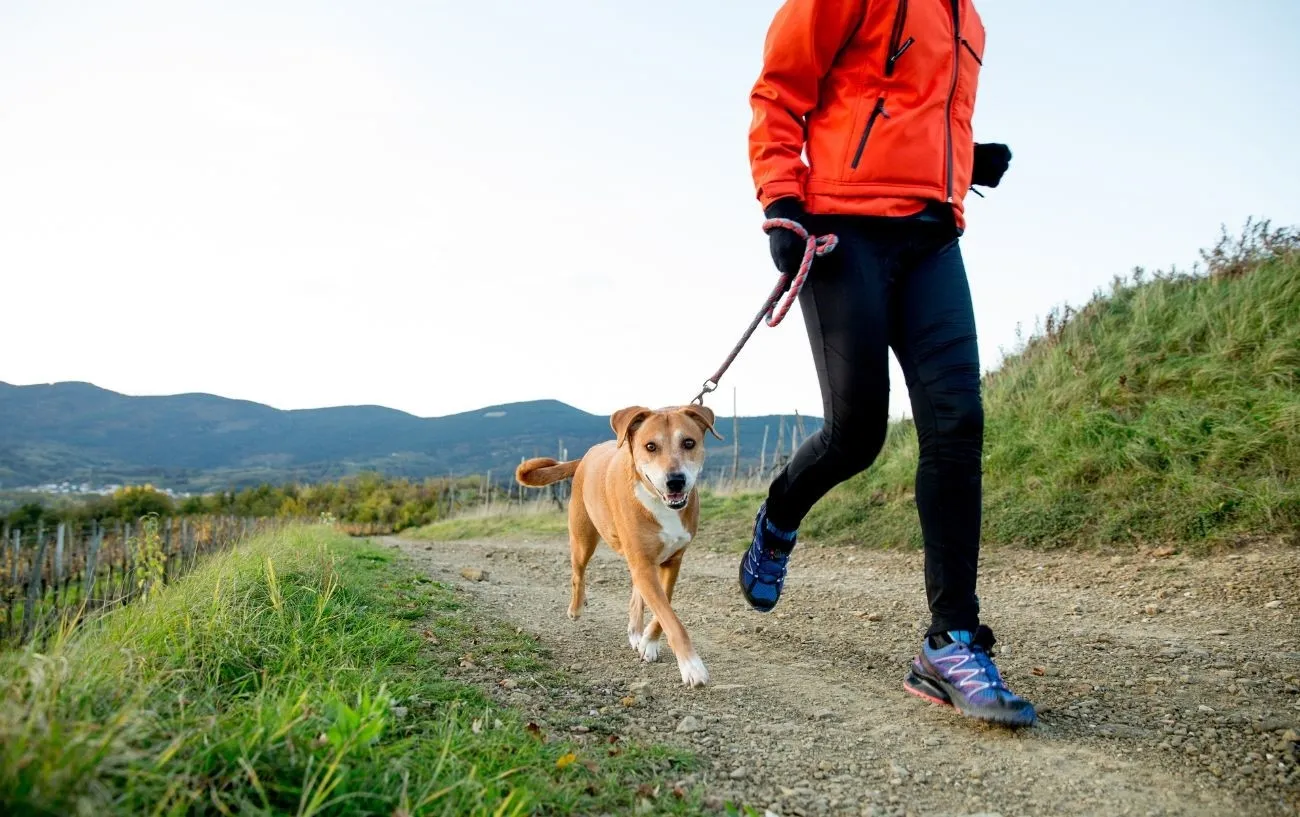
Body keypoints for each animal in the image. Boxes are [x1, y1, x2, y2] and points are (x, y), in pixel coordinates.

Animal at [514, 405, 722, 686]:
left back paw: (636, 632)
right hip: (583, 539)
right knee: (578, 574)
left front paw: (649, 641)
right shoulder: (643, 564)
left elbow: (663, 608)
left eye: (689, 442)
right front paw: (691, 665)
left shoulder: (671, 561)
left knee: (636, 592)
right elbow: (671, 619)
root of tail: (586, 456)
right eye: (650, 446)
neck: (657, 502)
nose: (675, 481)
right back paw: (576, 609)